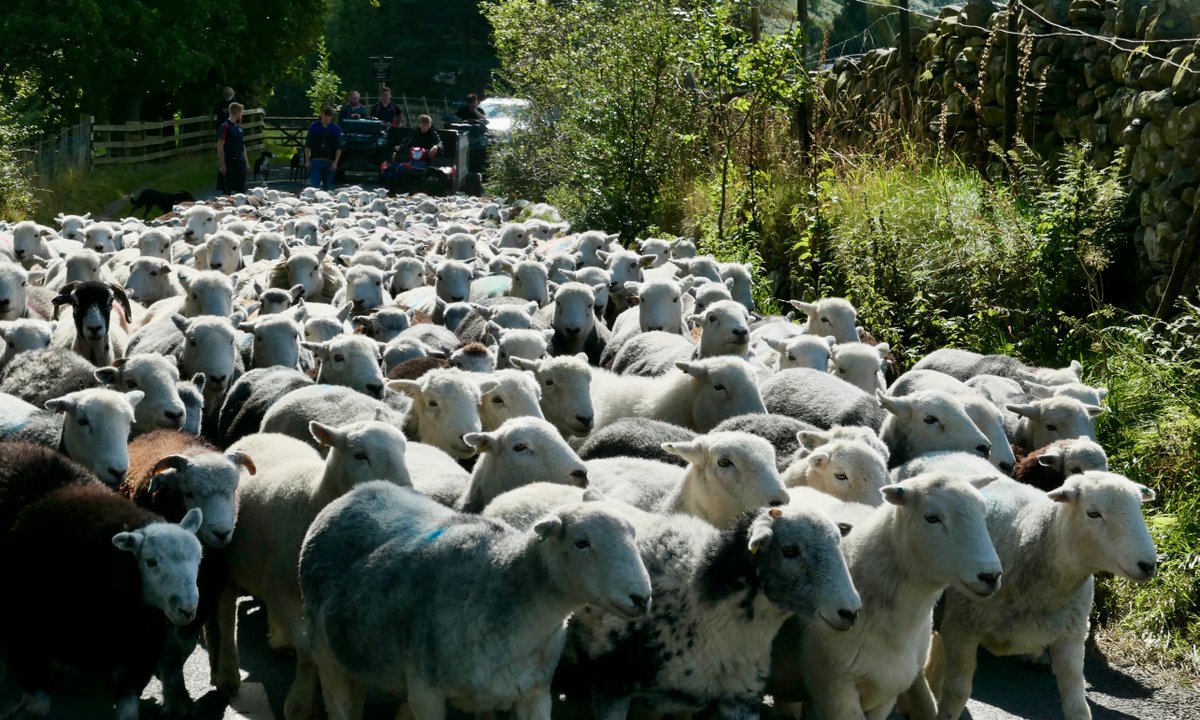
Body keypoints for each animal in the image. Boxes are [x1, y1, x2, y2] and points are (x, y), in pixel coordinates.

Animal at [0, 481, 202, 720]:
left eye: (199, 559)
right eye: (151, 562)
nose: (187, 609)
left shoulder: (141, 651)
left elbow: (128, 709)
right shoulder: (21, 635)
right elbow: (37, 705)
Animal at [216, 420, 411, 718]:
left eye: (404, 450)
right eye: (360, 455)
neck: (312, 499)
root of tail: (261, 434)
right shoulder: (281, 594)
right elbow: (309, 653)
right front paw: (299, 705)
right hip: (228, 559)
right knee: (226, 610)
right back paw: (228, 674)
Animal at [298, 482, 650, 720]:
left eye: (634, 535)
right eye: (581, 543)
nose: (642, 597)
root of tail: (358, 491)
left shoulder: (534, 693)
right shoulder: (427, 693)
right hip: (324, 649)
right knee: (338, 700)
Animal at [911, 474, 1157, 720]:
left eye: (1139, 508)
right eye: (1093, 513)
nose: (1148, 565)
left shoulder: (1071, 635)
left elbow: (1077, 704)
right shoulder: (961, 629)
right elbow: (957, 692)